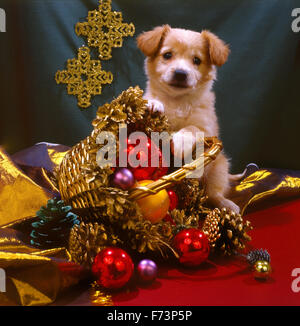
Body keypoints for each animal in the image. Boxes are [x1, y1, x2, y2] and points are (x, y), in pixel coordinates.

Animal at [137, 25, 240, 214]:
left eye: (197, 60)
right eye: (167, 55)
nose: (180, 73)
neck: (177, 101)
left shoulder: (206, 127)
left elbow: (191, 128)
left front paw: (180, 143)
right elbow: (152, 100)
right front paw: (153, 103)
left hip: (219, 169)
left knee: (214, 195)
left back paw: (227, 204)